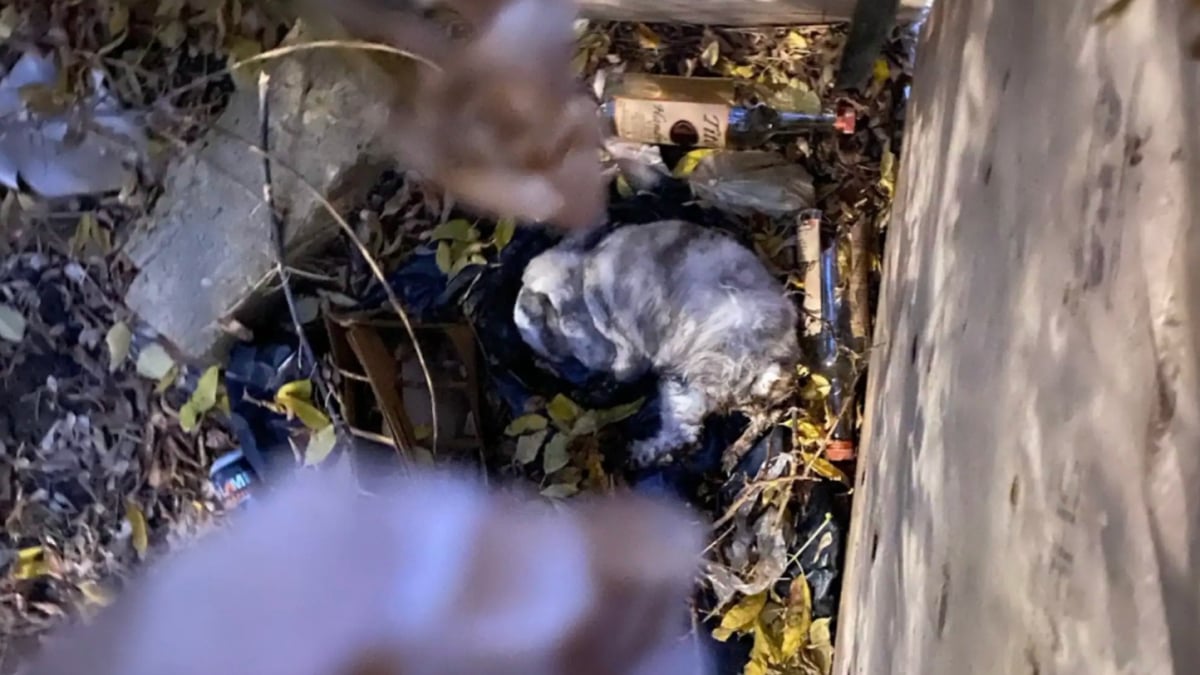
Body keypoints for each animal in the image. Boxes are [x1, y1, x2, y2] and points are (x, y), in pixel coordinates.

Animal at [514, 220, 802, 467]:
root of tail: (775, 359)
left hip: (694, 372)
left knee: (689, 433)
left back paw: (637, 452)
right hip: (690, 383)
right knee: (750, 418)